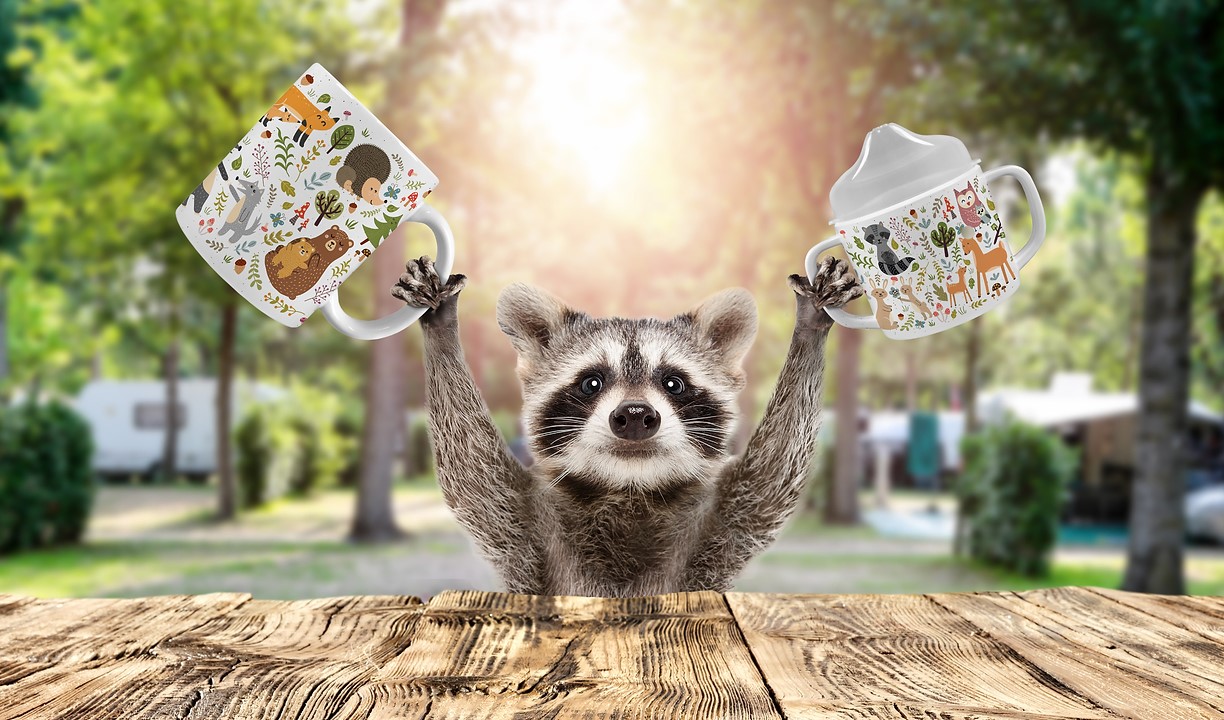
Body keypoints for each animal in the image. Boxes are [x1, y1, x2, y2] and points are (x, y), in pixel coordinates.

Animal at [392, 255, 862, 597]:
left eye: (673, 382)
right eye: (591, 382)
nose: (635, 416)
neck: (629, 487)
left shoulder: (721, 524)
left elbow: (773, 474)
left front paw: (810, 326)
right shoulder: (527, 525)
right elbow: (471, 469)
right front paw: (441, 326)